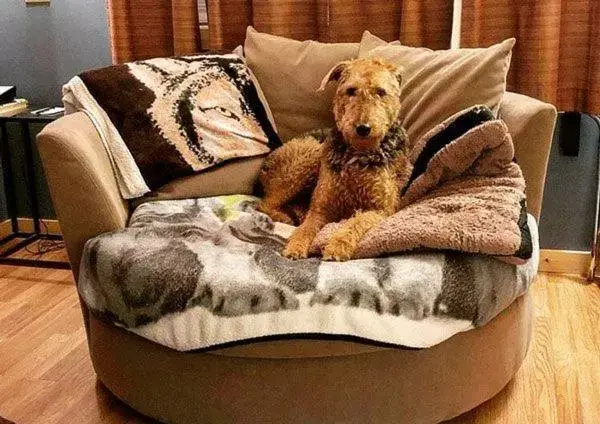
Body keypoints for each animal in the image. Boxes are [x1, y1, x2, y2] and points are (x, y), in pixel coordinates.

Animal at [255, 58, 410, 260]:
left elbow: (356, 222)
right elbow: (306, 228)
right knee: (265, 203)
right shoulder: (320, 209)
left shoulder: (381, 209)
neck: (357, 155)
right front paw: (295, 247)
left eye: (381, 92)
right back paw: (285, 217)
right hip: (308, 156)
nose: (363, 128)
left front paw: (337, 246)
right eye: (351, 90)